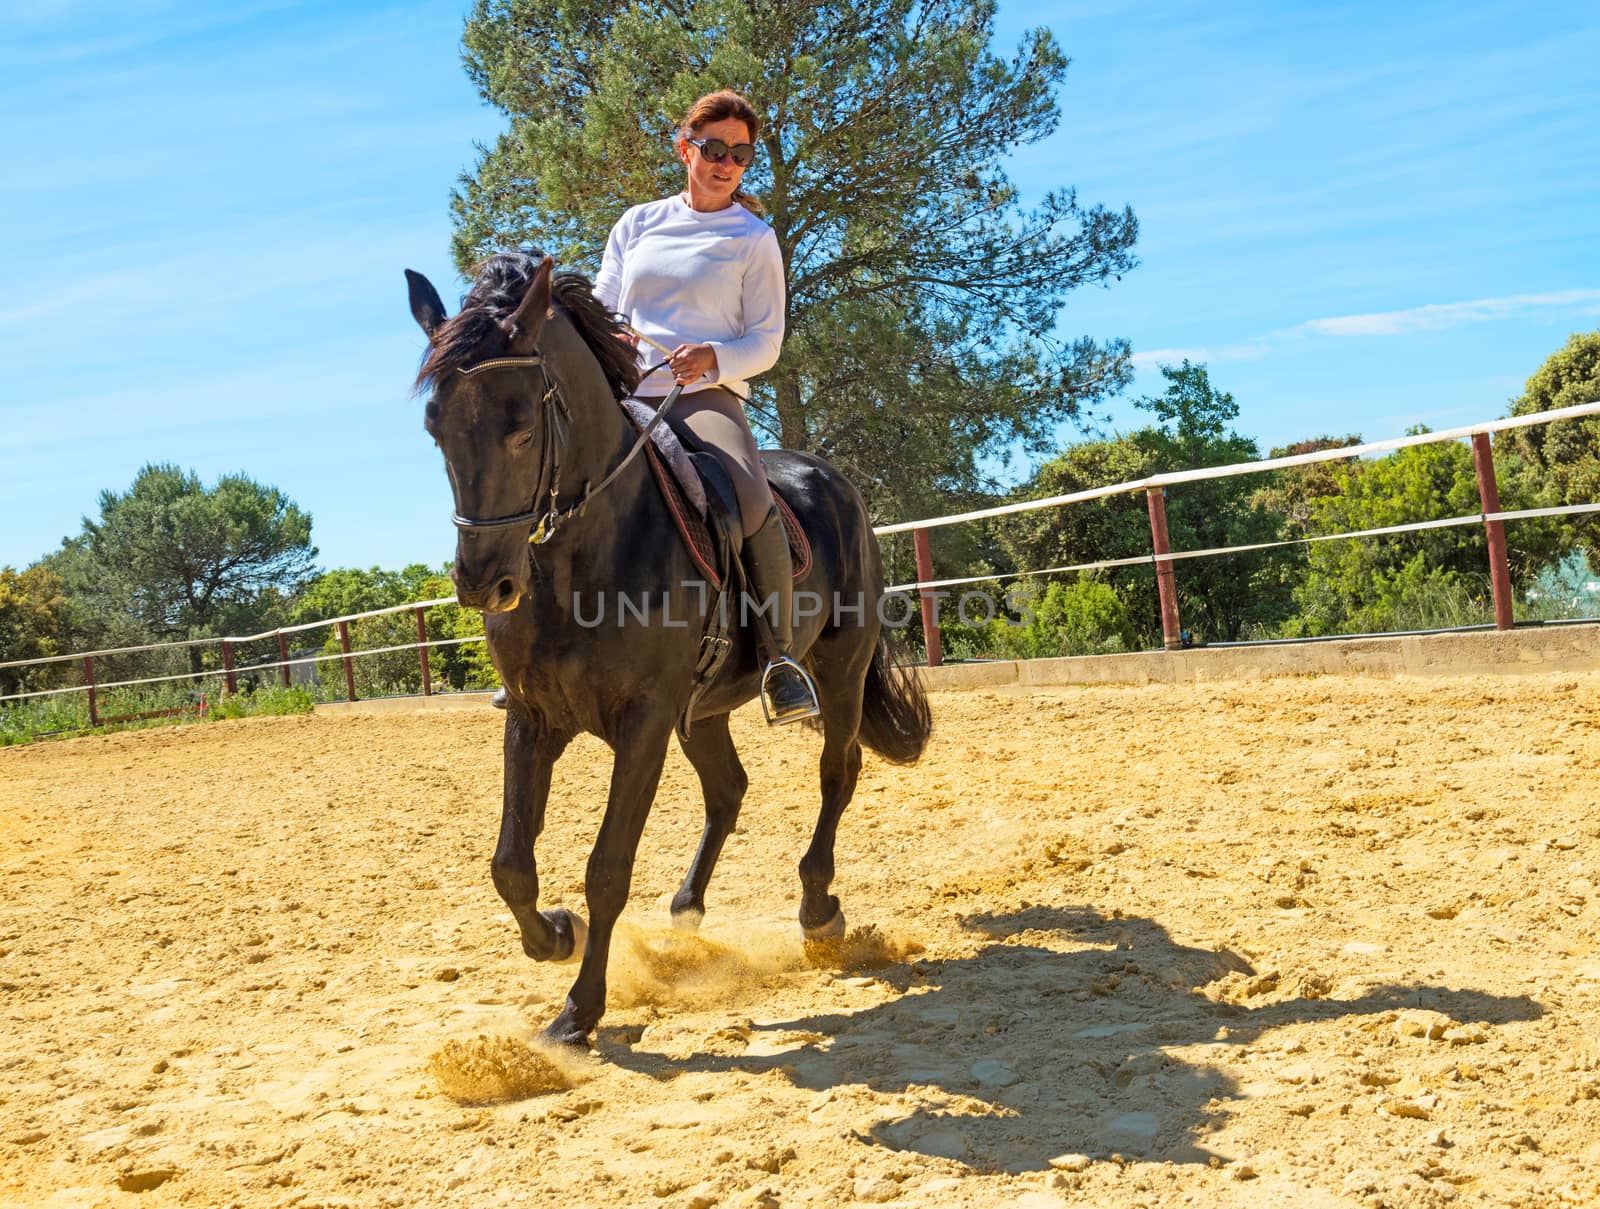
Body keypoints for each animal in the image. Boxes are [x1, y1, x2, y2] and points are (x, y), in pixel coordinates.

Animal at [406, 251, 934, 1042]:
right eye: (436, 427)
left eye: (522, 426)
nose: (482, 583)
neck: (582, 559)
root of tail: (831, 477)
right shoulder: (533, 716)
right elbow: (510, 864)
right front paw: (555, 935)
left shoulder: (644, 721)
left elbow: (607, 867)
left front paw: (578, 1013)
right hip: (704, 709)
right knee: (729, 789)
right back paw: (687, 911)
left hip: (835, 672)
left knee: (836, 772)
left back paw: (818, 910)